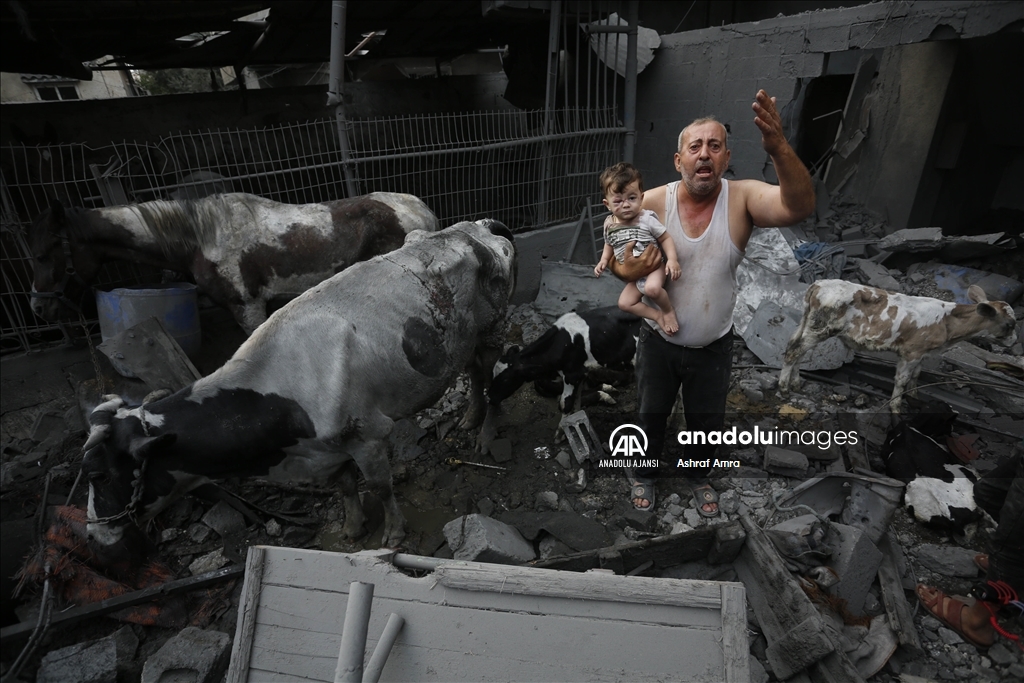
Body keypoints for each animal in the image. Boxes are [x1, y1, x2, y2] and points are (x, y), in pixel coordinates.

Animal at [77, 219, 520, 561]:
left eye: (98, 474)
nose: (94, 537)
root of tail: (476, 227)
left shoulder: (369, 434)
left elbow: (380, 487)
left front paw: (393, 533)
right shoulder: (327, 450)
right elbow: (345, 486)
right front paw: (353, 527)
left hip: (494, 328)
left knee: (491, 379)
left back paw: (485, 434)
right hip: (464, 340)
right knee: (474, 374)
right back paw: (469, 418)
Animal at [487, 307, 638, 413]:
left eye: (505, 379)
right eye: (492, 375)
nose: (489, 398)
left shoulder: (573, 374)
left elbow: (567, 403)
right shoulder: (577, 374)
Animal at [782, 280, 1015, 413]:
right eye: (1010, 325)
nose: (1014, 343)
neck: (948, 323)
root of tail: (819, 284)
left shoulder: (922, 353)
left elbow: (916, 377)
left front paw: (914, 398)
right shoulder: (911, 352)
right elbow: (902, 380)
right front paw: (895, 407)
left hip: (809, 324)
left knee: (796, 348)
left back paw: (795, 383)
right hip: (821, 328)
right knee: (795, 352)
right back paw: (784, 387)